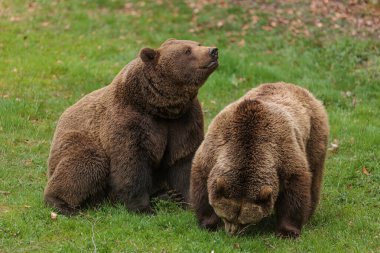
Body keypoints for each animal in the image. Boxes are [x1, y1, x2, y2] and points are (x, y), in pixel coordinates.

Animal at [43, 38, 220, 214]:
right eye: (187, 51)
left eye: (198, 44)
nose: (213, 50)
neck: (160, 107)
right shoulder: (130, 121)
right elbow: (131, 163)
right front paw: (143, 208)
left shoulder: (184, 120)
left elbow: (184, 160)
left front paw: (189, 202)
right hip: (76, 141)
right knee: (87, 163)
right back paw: (61, 204)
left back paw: (167, 195)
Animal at [190, 82, 330, 237]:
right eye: (226, 216)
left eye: (244, 221)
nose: (232, 233)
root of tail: (296, 87)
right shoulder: (215, 146)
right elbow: (202, 181)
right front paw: (209, 223)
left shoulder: (284, 152)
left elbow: (294, 189)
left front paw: (287, 231)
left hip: (314, 135)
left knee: (314, 174)